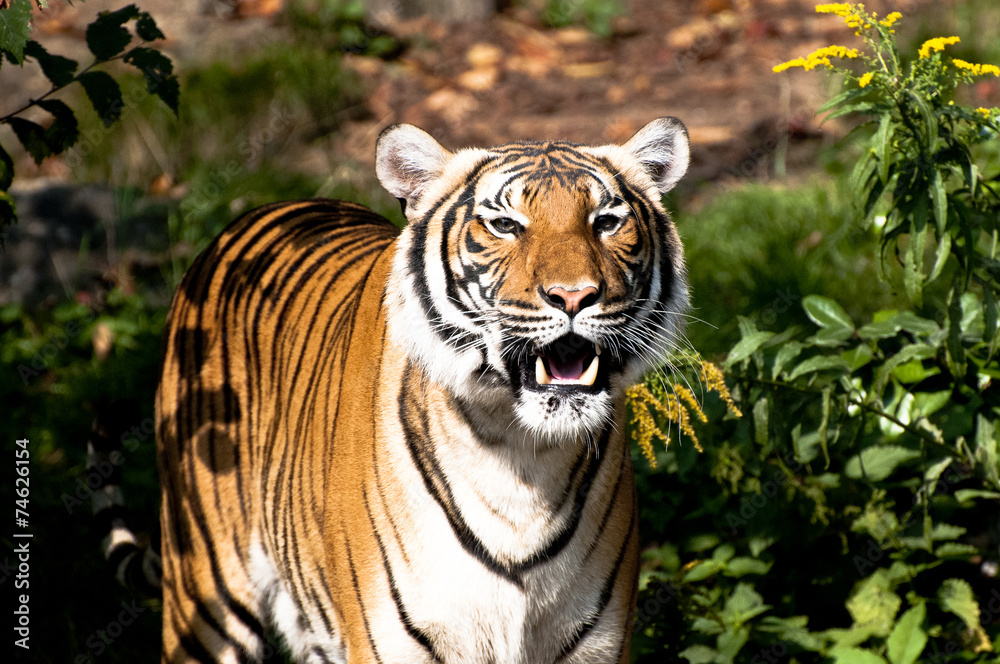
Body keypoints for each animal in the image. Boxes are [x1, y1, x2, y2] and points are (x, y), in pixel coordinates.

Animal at [152, 117, 691, 663]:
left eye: (606, 222)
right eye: (505, 225)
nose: (575, 295)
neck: (522, 458)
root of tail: (259, 212)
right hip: (204, 595)